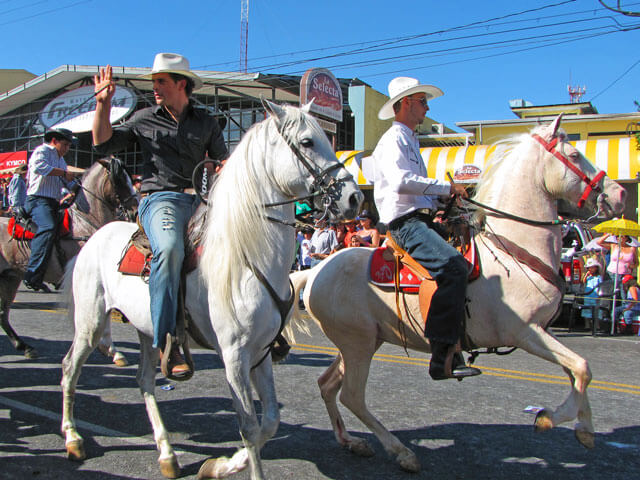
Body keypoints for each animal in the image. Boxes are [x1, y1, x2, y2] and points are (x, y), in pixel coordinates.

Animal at [0, 158, 136, 360]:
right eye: (119, 178)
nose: (136, 209)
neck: (84, 224)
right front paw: (110, 349)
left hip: (10, 277)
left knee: (3, 313)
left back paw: (24, 346)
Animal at [60, 99, 364, 478]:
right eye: (307, 142)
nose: (354, 198)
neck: (247, 258)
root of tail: (95, 235)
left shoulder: (261, 352)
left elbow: (270, 422)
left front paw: (222, 465)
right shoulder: (234, 356)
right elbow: (249, 426)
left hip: (147, 331)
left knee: (145, 383)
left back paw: (167, 454)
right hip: (89, 323)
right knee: (69, 368)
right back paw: (73, 440)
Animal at [288, 115, 628, 472]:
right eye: (574, 155)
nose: (619, 194)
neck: (513, 251)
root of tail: (316, 271)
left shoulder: (538, 333)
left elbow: (576, 371)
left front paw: (582, 427)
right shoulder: (526, 332)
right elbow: (581, 368)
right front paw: (555, 419)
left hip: (362, 341)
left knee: (328, 384)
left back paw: (351, 442)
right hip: (358, 343)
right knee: (351, 395)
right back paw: (401, 452)